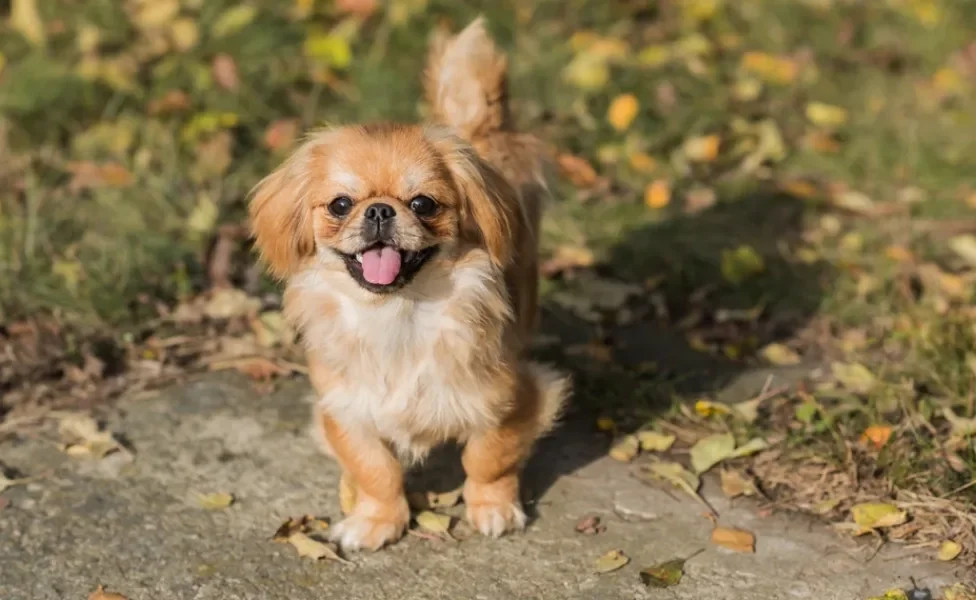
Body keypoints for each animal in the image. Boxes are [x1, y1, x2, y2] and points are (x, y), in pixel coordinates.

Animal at [248, 16, 568, 552]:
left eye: (423, 204)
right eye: (340, 204)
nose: (379, 210)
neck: (397, 315)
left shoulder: (514, 397)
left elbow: (488, 458)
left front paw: (493, 508)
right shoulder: (346, 409)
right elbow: (376, 469)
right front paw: (377, 520)